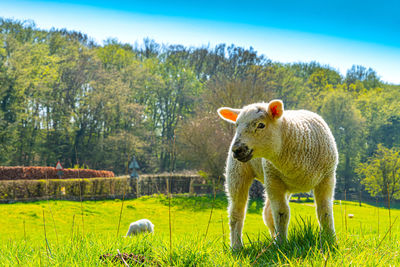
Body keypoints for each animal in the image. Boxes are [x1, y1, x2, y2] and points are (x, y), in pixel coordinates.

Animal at [219, 99, 338, 250]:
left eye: (261, 125)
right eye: (236, 125)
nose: (236, 150)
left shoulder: (327, 178)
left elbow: (325, 212)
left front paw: (330, 241)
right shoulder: (273, 179)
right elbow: (282, 213)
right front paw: (282, 244)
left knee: (267, 213)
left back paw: (272, 240)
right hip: (237, 173)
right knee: (237, 213)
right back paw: (236, 246)